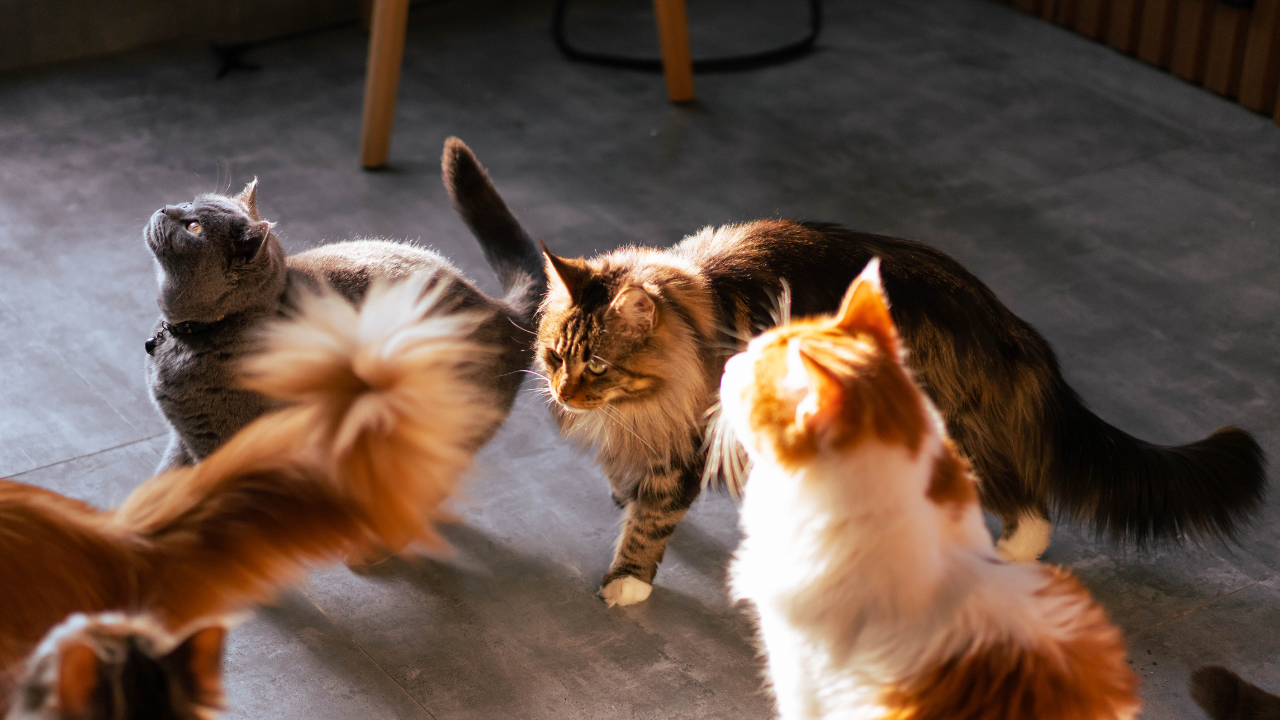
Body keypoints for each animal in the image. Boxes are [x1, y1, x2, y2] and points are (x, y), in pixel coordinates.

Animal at [146, 135, 540, 471]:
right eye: (188, 202)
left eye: (194, 227)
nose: (165, 208)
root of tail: (501, 310)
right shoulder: (182, 440)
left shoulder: (221, 444)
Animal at [535, 220, 1264, 604]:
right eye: (554, 357)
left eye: (596, 366)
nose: (565, 394)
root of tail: (1002, 319)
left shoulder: (684, 441)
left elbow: (650, 522)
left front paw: (626, 582)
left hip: (941, 430)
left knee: (1028, 512)